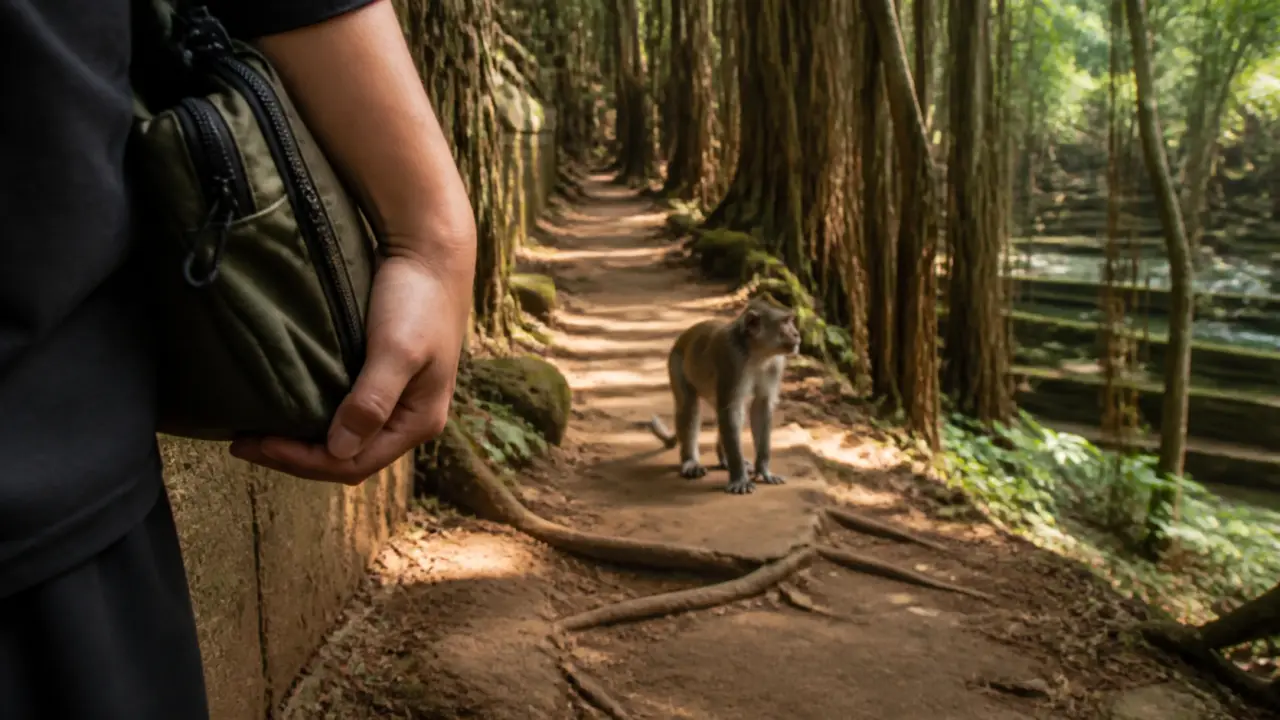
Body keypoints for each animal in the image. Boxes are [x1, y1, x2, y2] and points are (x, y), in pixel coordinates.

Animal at [648, 296, 801, 494]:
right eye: (785, 323)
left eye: (791, 321)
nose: (797, 334)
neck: (756, 352)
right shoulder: (731, 359)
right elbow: (730, 409)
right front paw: (739, 478)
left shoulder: (775, 364)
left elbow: (761, 406)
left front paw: (764, 470)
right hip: (675, 362)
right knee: (689, 406)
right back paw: (690, 461)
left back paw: (724, 459)